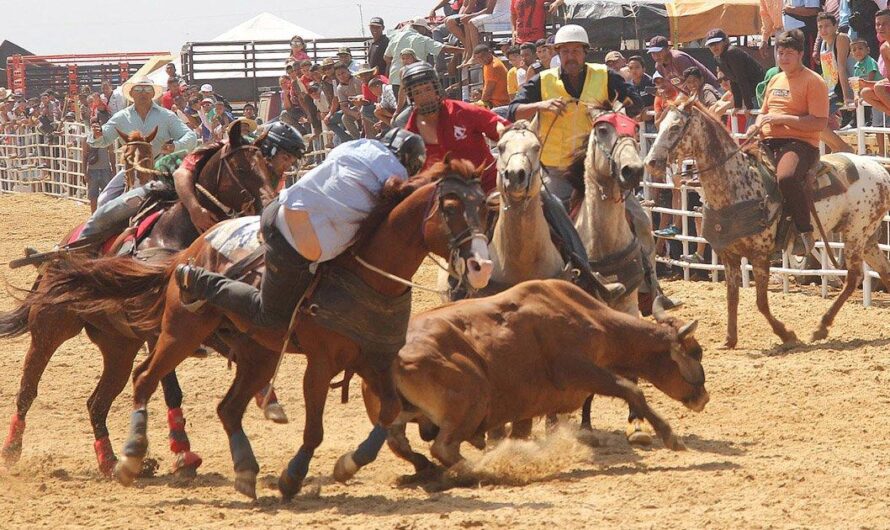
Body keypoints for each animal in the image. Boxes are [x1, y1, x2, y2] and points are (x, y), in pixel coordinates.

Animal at [0, 121, 278, 476]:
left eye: (269, 167)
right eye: (242, 168)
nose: (270, 205)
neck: (174, 236)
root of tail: (60, 252)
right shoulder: (158, 332)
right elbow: (171, 388)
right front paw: (183, 453)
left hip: (118, 346)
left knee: (97, 402)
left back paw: (110, 460)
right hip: (49, 330)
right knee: (28, 389)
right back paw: (12, 449)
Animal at [24, 158, 492, 500]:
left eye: (487, 207)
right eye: (451, 208)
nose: (482, 267)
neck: (367, 273)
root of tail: (184, 256)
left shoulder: (375, 359)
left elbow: (390, 413)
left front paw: (350, 464)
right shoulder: (321, 363)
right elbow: (316, 428)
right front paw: (293, 476)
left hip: (256, 353)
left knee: (226, 408)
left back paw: (244, 470)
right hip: (177, 333)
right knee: (143, 380)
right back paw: (131, 458)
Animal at [640, 96, 888, 344]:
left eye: (675, 127)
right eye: (659, 125)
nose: (650, 162)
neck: (738, 184)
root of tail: (880, 169)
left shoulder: (760, 255)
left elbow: (760, 302)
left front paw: (786, 334)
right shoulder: (729, 255)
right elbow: (732, 297)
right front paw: (730, 339)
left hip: (855, 233)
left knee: (853, 277)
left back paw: (821, 327)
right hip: (867, 238)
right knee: (884, 269)